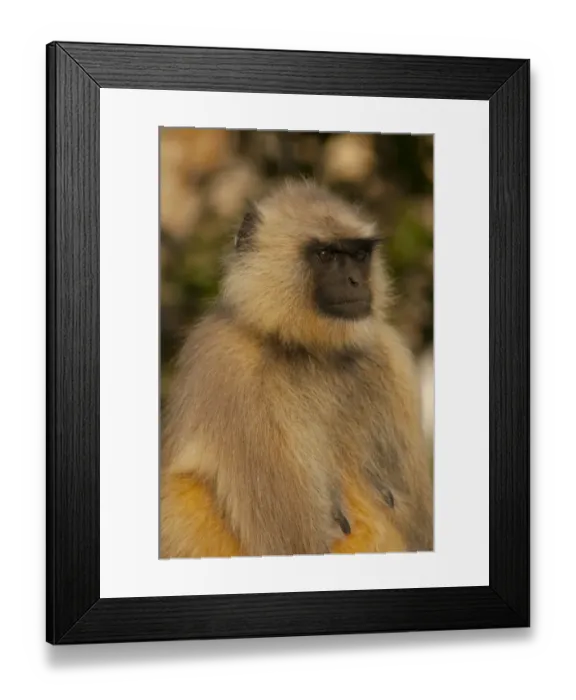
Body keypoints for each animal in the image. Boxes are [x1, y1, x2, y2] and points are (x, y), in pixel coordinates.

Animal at [160, 179, 433, 558]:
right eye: (326, 255)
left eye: (359, 255)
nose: (354, 281)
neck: (311, 351)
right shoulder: (230, 366)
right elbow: (292, 542)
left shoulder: (392, 357)